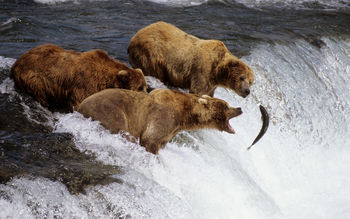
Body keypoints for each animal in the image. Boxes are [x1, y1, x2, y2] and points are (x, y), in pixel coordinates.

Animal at [10, 43, 148, 111]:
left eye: (145, 86)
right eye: (139, 87)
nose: (147, 96)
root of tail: (16, 63)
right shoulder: (84, 84)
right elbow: (79, 102)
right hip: (35, 78)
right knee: (40, 93)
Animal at [77, 88, 242, 155]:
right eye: (226, 106)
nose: (239, 108)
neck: (184, 115)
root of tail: (80, 106)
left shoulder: (171, 130)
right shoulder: (163, 116)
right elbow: (150, 138)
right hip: (110, 111)